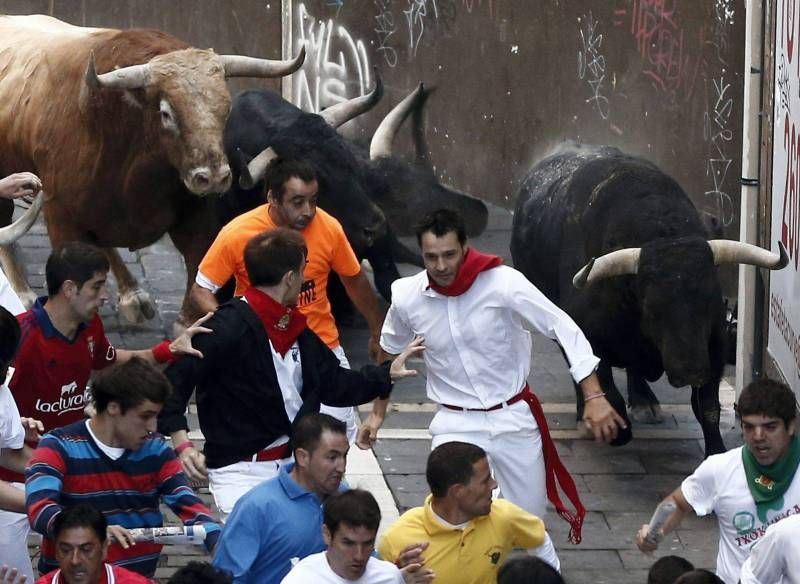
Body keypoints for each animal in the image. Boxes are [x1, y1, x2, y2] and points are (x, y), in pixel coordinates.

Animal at [512, 145, 788, 456]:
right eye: (652, 308)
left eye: (712, 301)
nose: (691, 370)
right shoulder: (587, 334)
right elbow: (603, 388)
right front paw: (608, 424)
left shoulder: (715, 346)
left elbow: (707, 407)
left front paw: (716, 451)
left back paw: (644, 400)